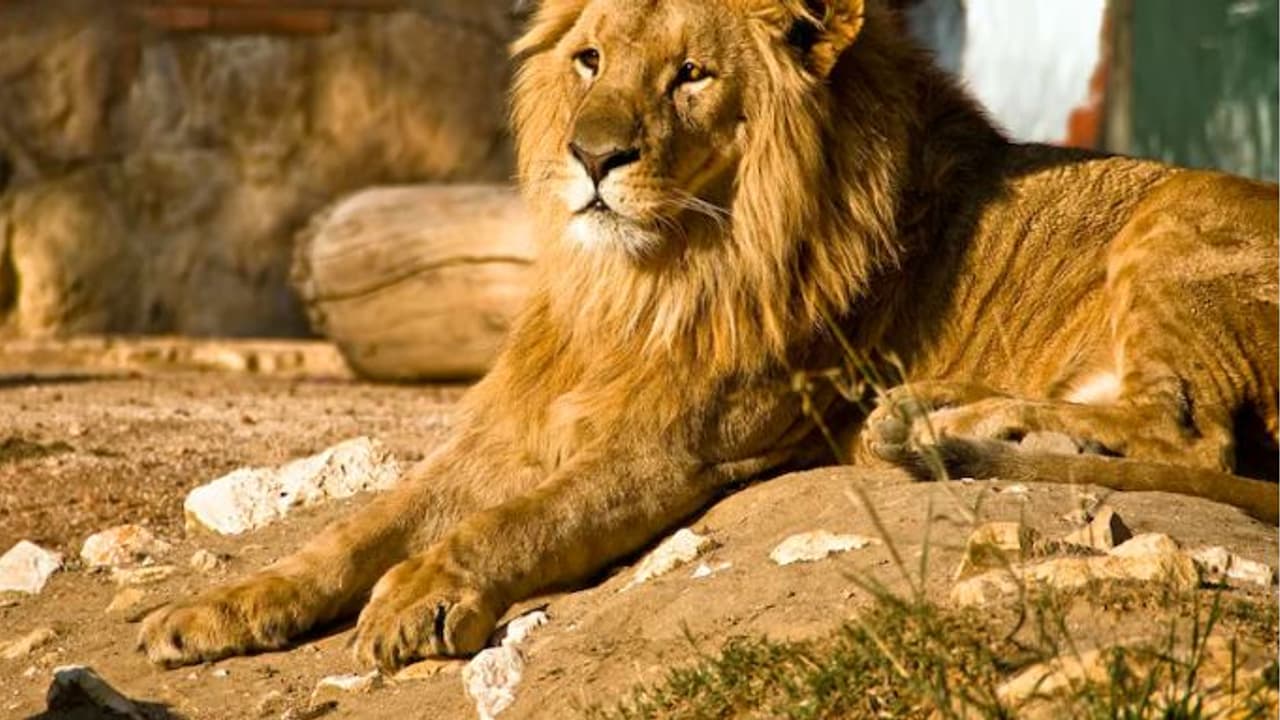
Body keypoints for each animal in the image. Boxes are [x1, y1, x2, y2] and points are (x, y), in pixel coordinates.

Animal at [139, 0, 1279, 670]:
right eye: (589, 60)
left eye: (690, 74)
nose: (591, 157)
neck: (645, 281)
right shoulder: (506, 431)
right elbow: (360, 527)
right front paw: (219, 608)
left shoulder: (677, 446)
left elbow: (522, 520)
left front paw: (422, 593)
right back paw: (939, 422)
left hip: (1174, 226)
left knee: (1195, 436)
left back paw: (943, 429)